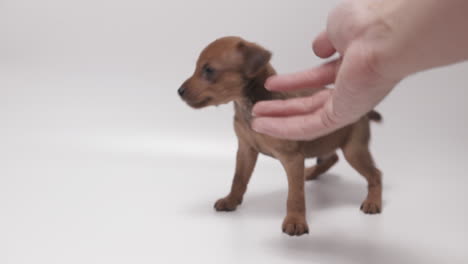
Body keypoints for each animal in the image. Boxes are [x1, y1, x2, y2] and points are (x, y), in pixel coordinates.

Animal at [177, 36, 382, 236]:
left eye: (209, 70)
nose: (179, 91)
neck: (247, 106)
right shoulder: (245, 150)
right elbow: (238, 178)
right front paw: (231, 200)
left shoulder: (292, 158)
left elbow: (295, 194)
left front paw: (295, 221)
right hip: (324, 142)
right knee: (331, 158)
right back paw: (310, 172)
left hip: (354, 150)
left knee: (375, 174)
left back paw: (373, 201)